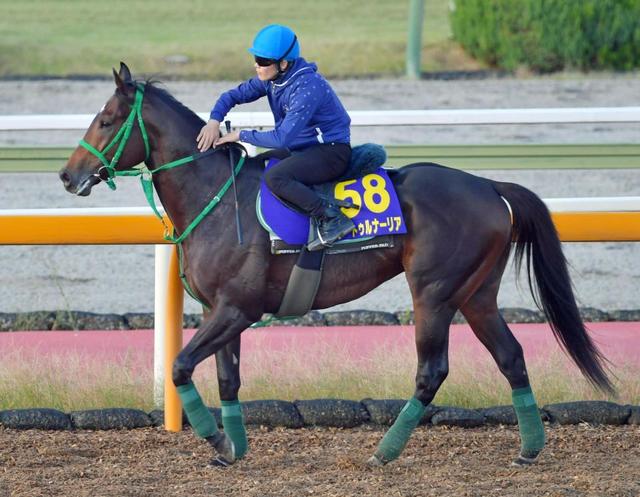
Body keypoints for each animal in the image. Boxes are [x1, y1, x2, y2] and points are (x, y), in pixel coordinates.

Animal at [61, 64, 616, 466]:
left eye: (106, 120)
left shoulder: (235, 310)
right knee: (511, 357)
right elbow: (227, 381)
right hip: (476, 295)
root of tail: (489, 186)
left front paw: (217, 442)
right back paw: (529, 449)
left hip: (434, 292)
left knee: (431, 371)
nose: (68, 175)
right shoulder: (222, 312)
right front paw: (233, 450)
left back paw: (384, 452)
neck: (216, 196)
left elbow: (179, 366)